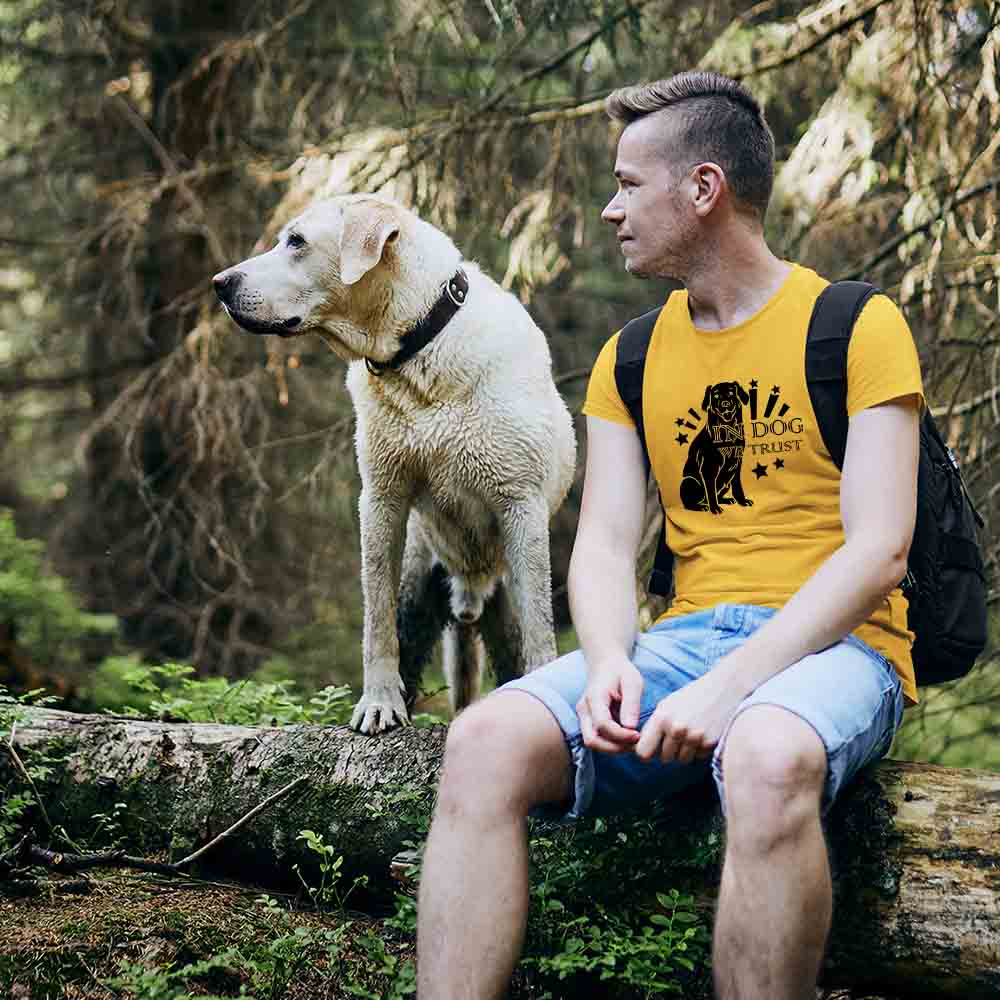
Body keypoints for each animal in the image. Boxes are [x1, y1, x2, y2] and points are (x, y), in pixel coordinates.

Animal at [213, 194, 576, 733]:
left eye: (296, 242)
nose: (219, 283)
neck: (419, 356)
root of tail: (469, 589)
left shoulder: (521, 509)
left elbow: (541, 635)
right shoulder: (382, 500)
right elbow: (376, 621)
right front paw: (379, 703)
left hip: (502, 590)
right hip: (420, 580)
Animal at [679, 381, 753, 514]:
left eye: (731, 392)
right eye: (716, 395)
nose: (725, 404)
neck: (728, 431)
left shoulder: (737, 464)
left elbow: (737, 487)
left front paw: (742, 501)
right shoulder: (708, 467)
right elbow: (711, 491)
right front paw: (714, 508)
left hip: (726, 481)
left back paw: (726, 500)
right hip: (689, 481)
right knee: (690, 503)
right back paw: (702, 506)